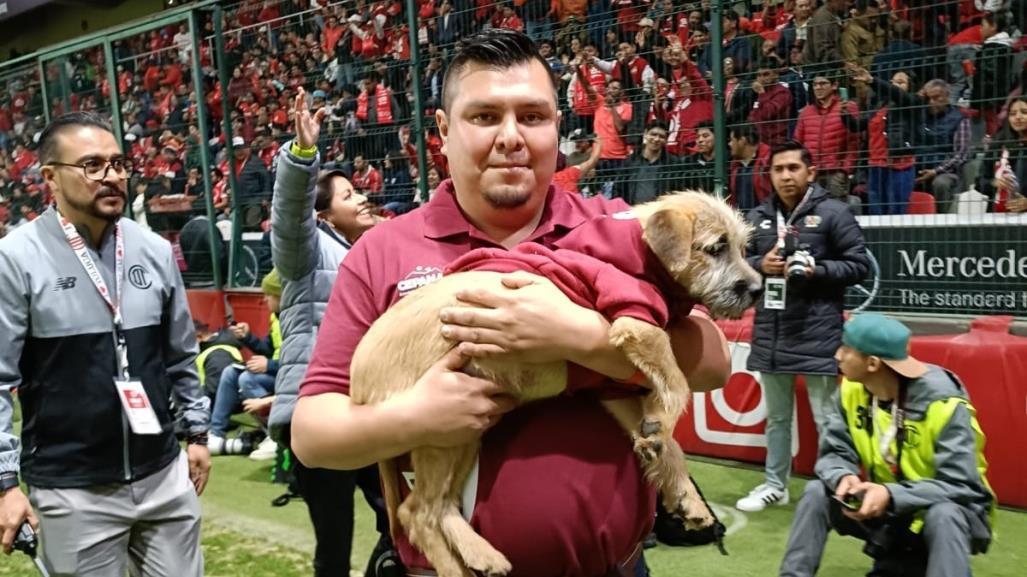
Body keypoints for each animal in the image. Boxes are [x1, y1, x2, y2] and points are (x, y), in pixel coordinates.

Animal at [353, 190, 764, 574]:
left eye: (743, 247)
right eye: (716, 248)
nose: (758, 289)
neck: (641, 252)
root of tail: (358, 389)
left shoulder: (612, 390)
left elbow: (670, 441)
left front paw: (682, 488)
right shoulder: (636, 322)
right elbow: (676, 381)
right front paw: (663, 426)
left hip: (464, 433)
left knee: (435, 506)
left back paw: (482, 555)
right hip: (438, 429)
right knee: (417, 512)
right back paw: (457, 569)